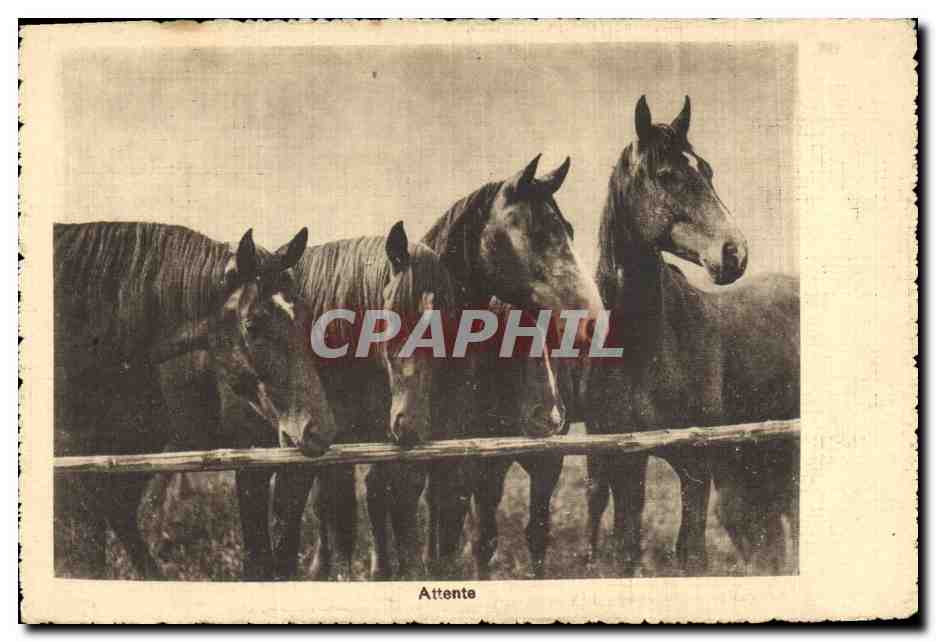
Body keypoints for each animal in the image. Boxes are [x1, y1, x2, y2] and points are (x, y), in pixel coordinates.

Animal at [420, 155, 605, 579]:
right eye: (536, 232)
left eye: (570, 230)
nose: (590, 320)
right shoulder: (479, 464)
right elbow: (480, 537)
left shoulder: (546, 462)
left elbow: (536, 533)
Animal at [584, 96, 800, 576]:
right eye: (667, 175)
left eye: (708, 170)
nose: (733, 253)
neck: (647, 346)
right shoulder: (626, 460)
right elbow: (626, 547)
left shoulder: (696, 464)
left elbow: (693, 553)